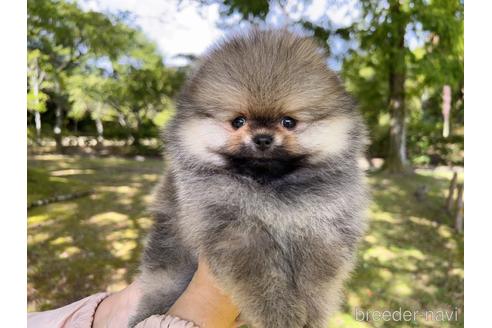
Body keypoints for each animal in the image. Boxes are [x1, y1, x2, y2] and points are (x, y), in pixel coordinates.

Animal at [129, 28, 368, 328]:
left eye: (288, 122)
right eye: (238, 121)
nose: (263, 138)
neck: (270, 189)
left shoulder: (324, 226)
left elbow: (318, 277)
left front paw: (311, 311)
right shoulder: (235, 231)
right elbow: (261, 279)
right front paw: (279, 315)